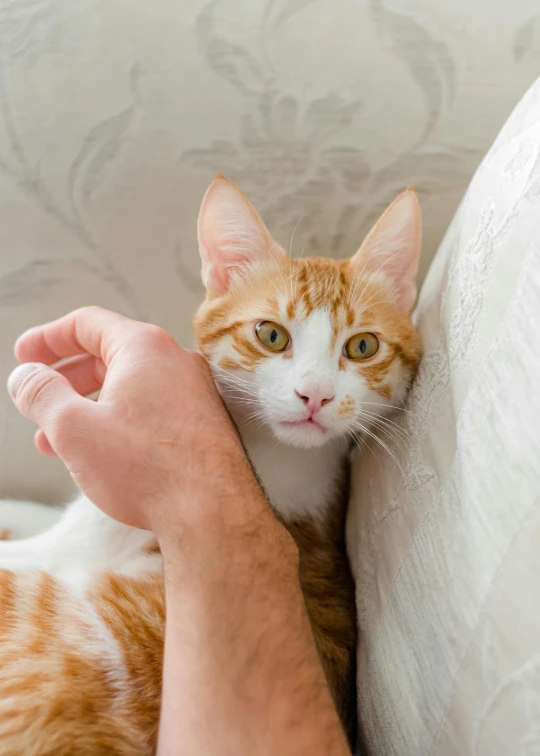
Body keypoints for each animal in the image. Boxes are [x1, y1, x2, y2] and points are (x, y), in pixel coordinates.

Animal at [0, 176, 422, 752]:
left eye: (362, 346)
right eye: (271, 334)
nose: (314, 395)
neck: (273, 457)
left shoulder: (74, 538)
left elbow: (29, 539)